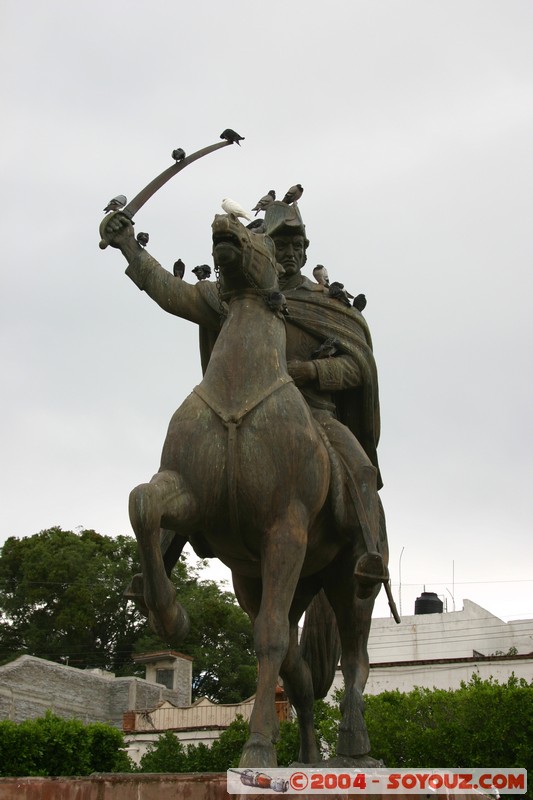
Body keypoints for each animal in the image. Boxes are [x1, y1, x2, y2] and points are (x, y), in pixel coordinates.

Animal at [128, 214, 386, 768]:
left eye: (269, 237)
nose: (223, 224)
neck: (239, 384)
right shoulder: (189, 495)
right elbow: (143, 504)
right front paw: (170, 615)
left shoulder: (284, 529)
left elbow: (268, 638)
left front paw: (258, 747)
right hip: (265, 580)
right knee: (300, 670)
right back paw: (309, 757)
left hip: (350, 581)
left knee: (355, 660)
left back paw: (354, 745)